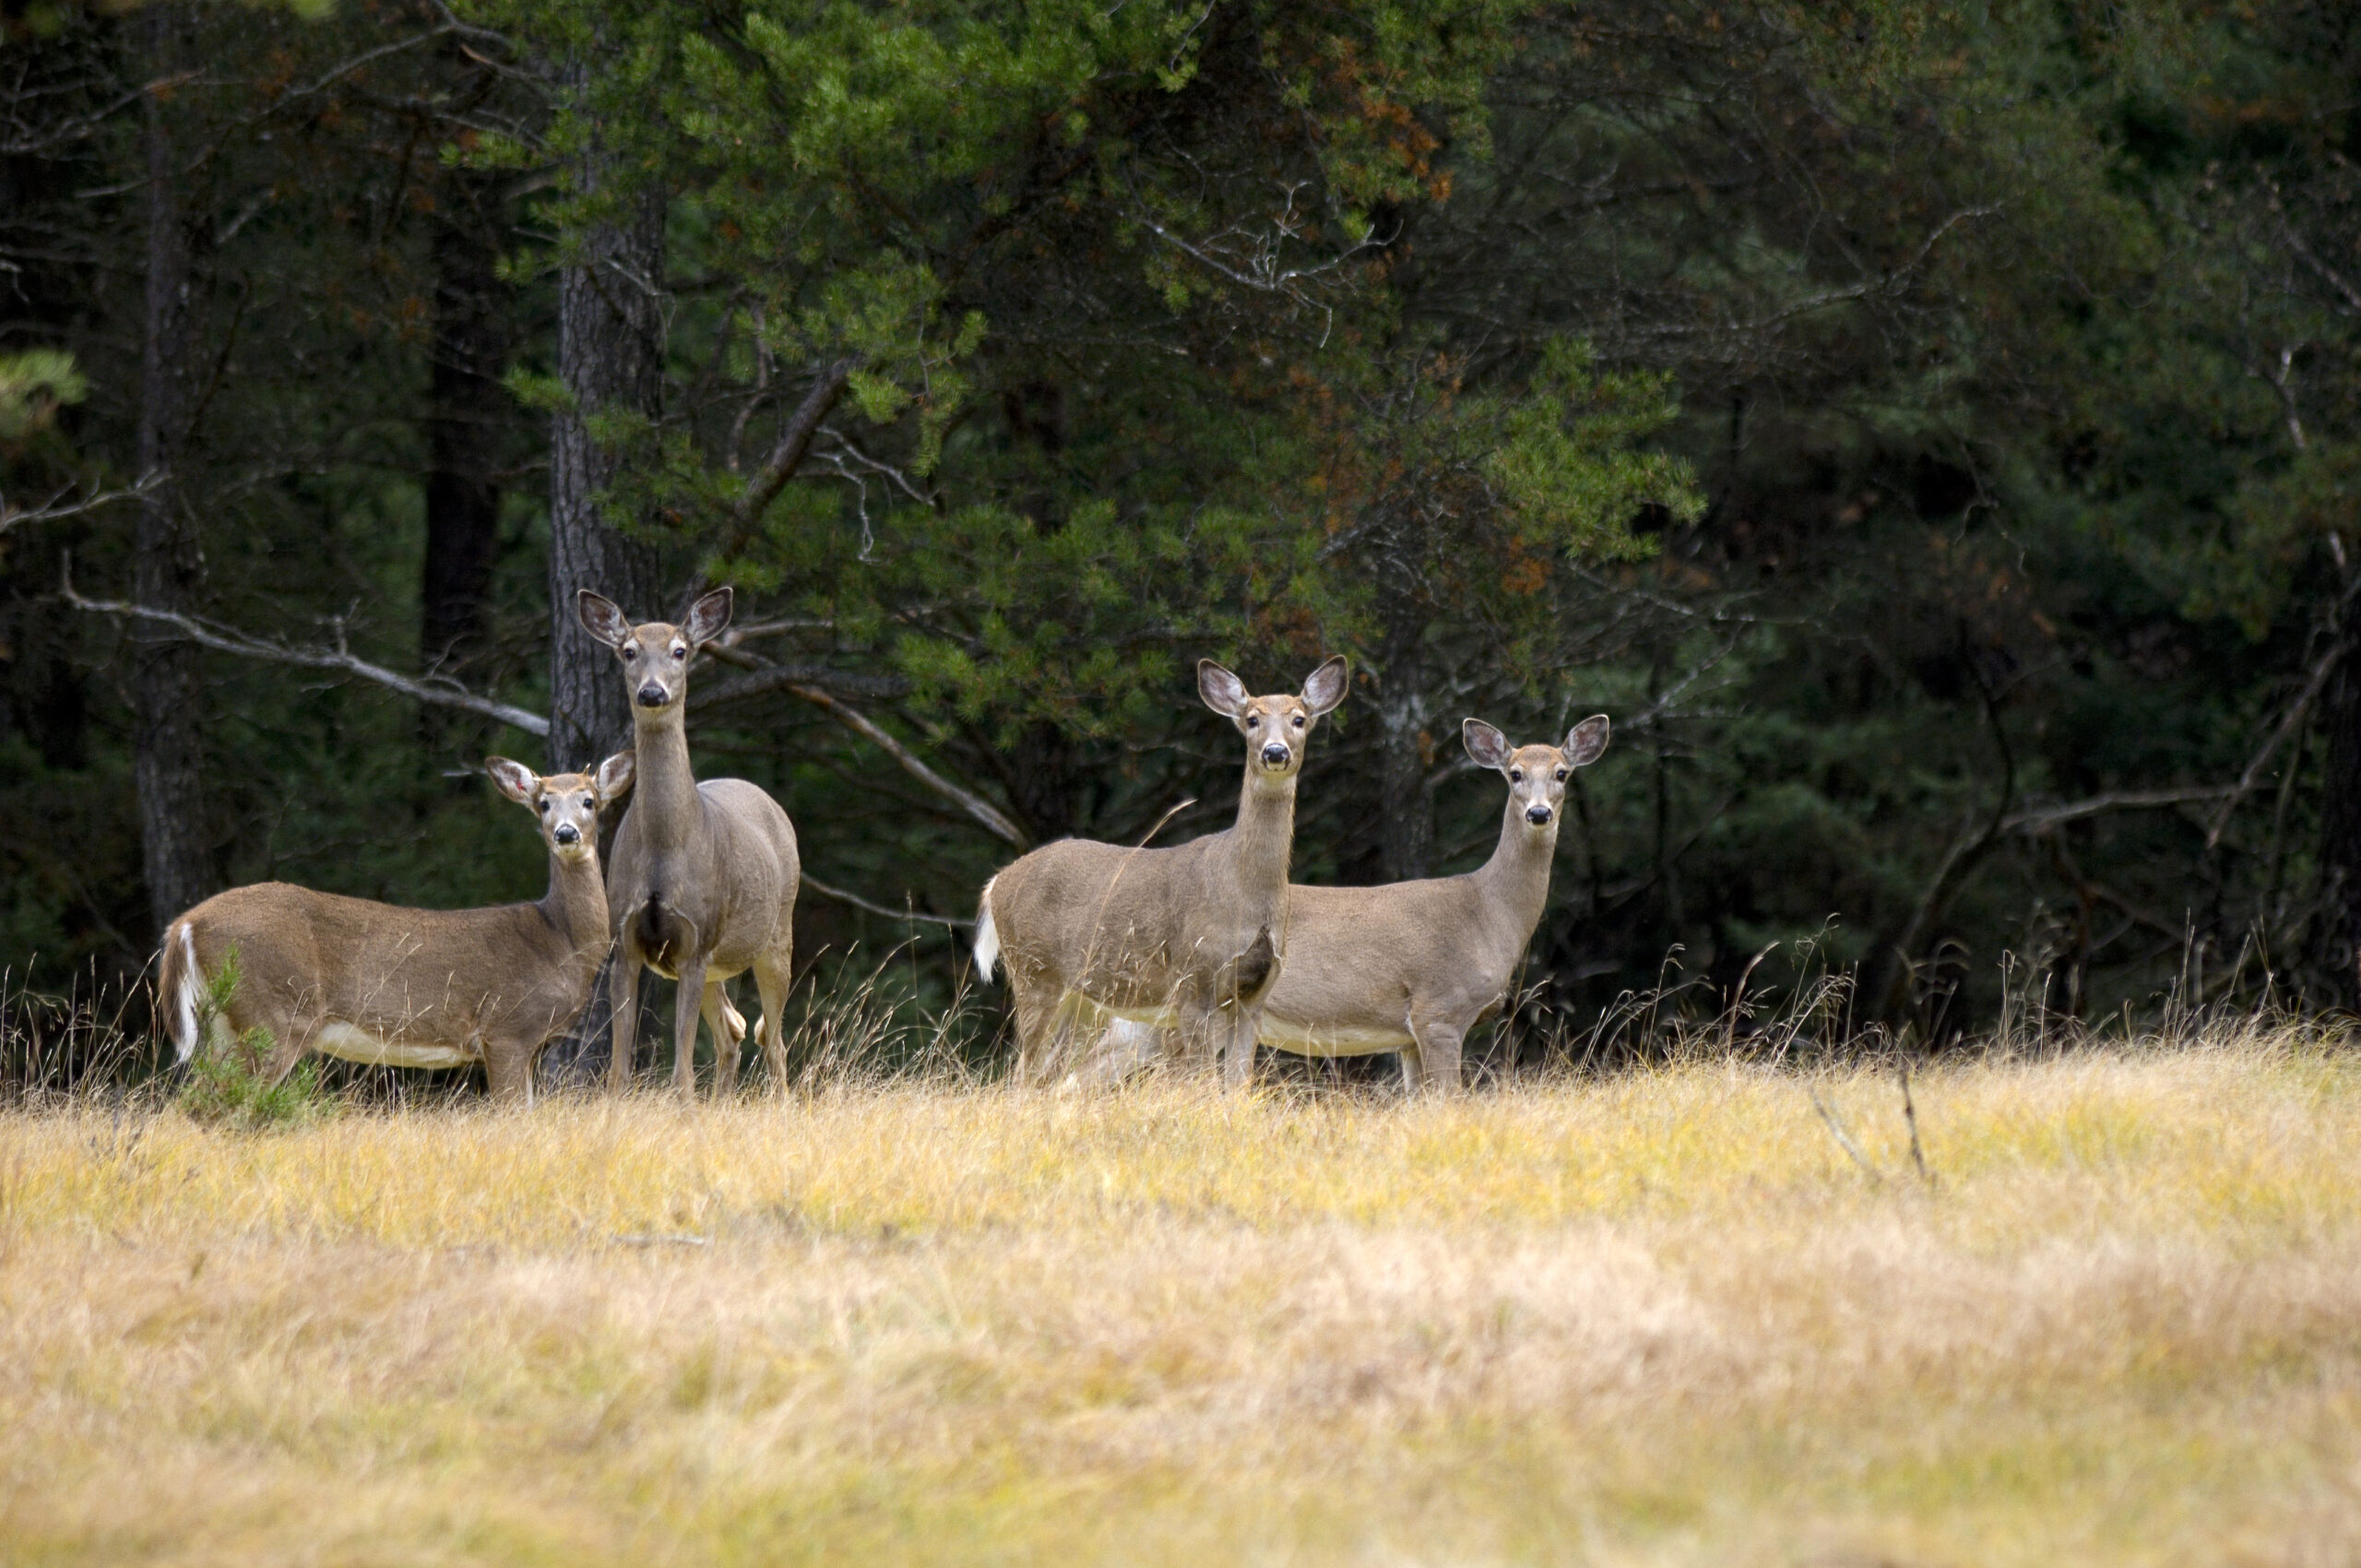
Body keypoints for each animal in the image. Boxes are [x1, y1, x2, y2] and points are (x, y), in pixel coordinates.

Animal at [155, 751, 637, 1100]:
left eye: (589, 800)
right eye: (543, 803)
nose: (566, 833)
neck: (559, 942)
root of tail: (184, 925)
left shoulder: (531, 1045)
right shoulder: (507, 1029)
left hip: (225, 1022)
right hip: (274, 1013)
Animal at [574, 585, 798, 1090]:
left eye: (680, 651)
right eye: (629, 651)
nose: (652, 691)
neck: (664, 850)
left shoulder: (696, 939)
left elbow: (680, 1073)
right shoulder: (626, 943)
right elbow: (618, 1070)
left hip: (776, 933)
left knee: (773, 1040)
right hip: (717, 964)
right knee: (734, 1032)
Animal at [972, 656, 1350, 1086]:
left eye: (1299, 719)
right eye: (1251, 719)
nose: (1274, 751)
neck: (1245, 892)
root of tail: (997, 882)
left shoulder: (1256, 995)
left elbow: (1237, 1084)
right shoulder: (1193, 980)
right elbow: (1198, 1079)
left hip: (1082, 999)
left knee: (1049, 1076)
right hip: (1034, 972)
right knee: (1022, 1075)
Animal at [1081, 708, 1615, 1090]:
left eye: (1563, 773)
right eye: (1515, 774)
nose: (1539, 814)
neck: (1487, 912)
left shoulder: (1407, 1037)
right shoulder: (1439, 1008)